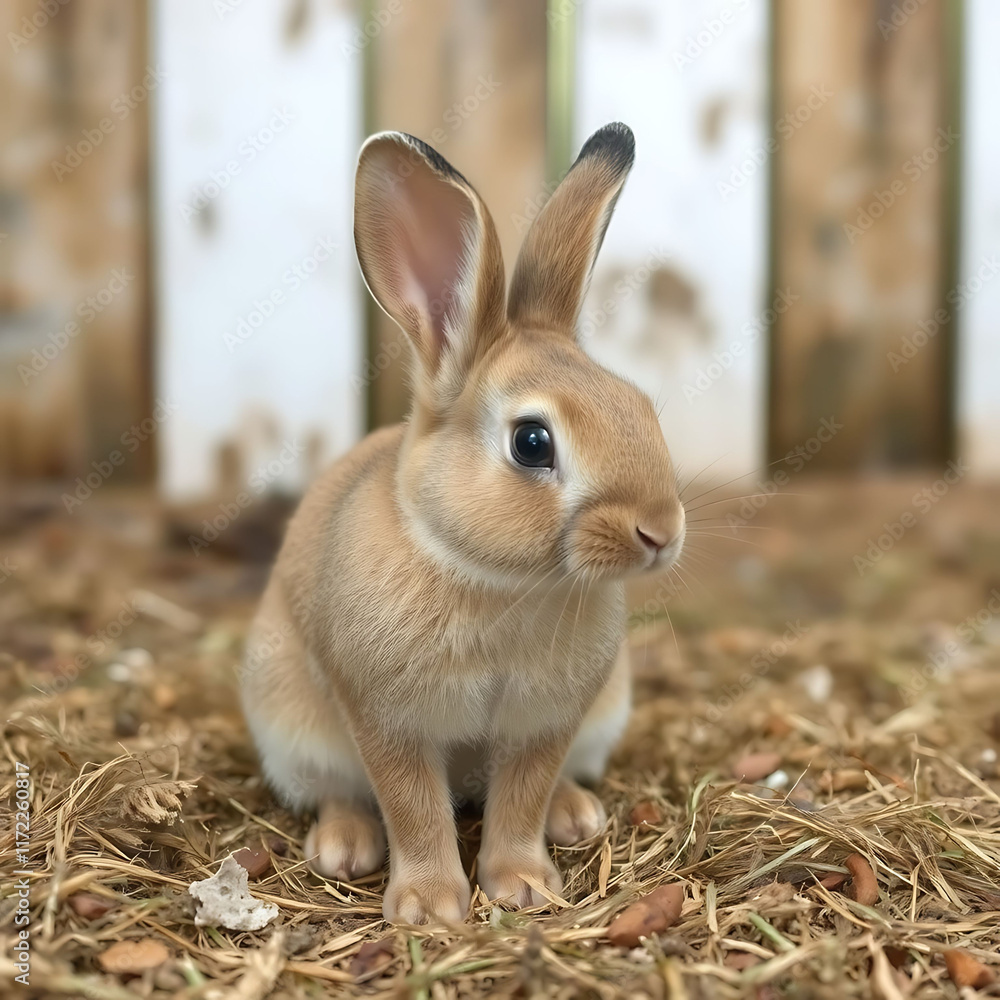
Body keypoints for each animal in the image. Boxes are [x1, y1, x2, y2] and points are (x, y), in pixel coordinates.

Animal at [240, 121, 685, 924]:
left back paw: (576, 814)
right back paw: (344, 847)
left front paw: (525, 887)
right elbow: (413, 807)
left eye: (639, 406)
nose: (661, 532)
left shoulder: (547, 723)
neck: (497, 580)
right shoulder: (389, 721)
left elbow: (521, 800)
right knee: (335, 791)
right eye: (532, 442)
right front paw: (429, 908)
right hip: (290, 726)